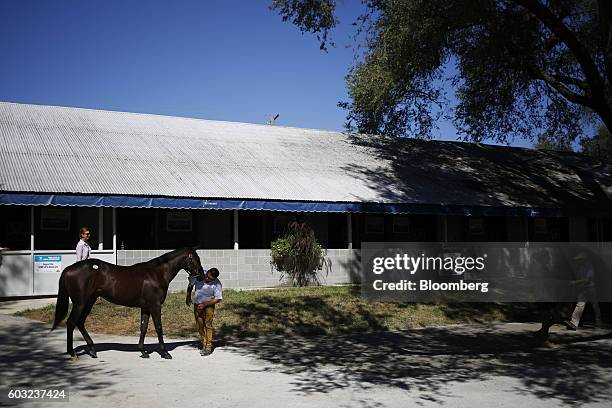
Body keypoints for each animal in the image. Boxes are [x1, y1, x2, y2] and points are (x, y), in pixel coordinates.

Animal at [50, 247, 203, 358]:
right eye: (195, 259)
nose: (201, 275)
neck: (156, 274)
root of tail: (68, 269)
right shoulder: (155, 305)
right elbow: (159, 327)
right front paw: (165, 353)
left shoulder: (146, 307)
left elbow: (143, 327)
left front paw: (143, 351)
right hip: (80, 303)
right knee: (71, 322)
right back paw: (72, 352)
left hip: (89, 301)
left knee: (80, 322)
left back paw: (92, 350)